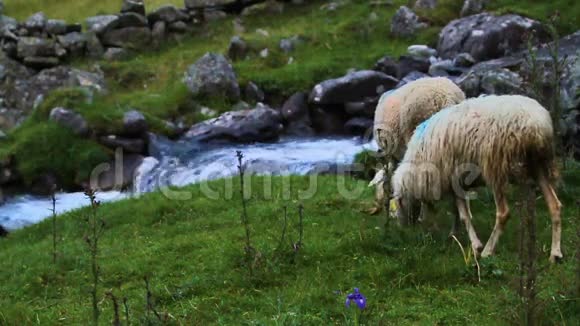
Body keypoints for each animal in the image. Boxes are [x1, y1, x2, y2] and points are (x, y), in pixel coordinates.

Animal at [390, 95, 560, 262]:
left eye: (399, 205)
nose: (403, 228)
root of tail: (538, 125)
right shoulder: (456, 183)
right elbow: (457, 213)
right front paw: (454, 235)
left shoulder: (451, 179)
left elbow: (464, 216)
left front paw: (476, 245)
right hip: (537, 164)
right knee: (555, 205)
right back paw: (555, 254)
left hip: (495, 166)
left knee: (503, 213)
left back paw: (488, 251)